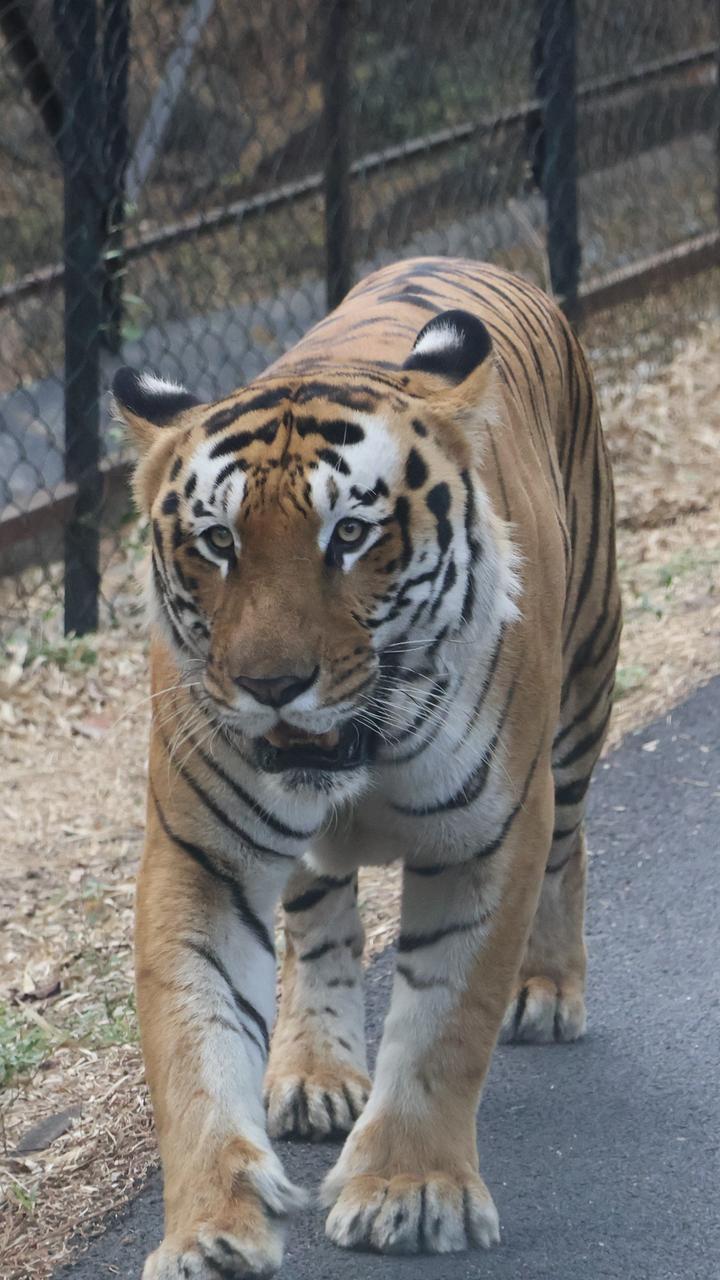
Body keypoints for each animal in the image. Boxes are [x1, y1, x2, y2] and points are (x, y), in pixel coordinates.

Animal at [112, 256, 620, 1278]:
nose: (272, 685)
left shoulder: (490, 838)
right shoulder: (198, 856)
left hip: (584, 699)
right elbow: (195, 1049)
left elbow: (444, 1029)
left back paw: (548, 990)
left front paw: (410, 1194)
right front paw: (207, 1232)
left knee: (571, 847)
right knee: (320, 923)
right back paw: (315, 1072)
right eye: (218, 541)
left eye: (348, 535)